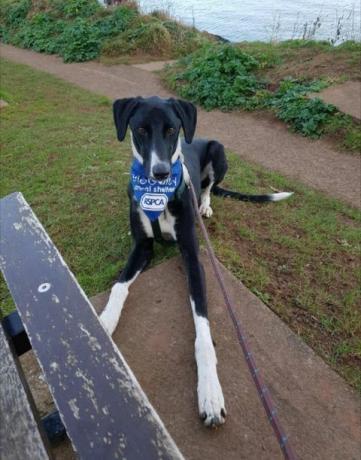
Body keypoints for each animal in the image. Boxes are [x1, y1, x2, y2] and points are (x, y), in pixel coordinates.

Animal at [100, 96, 292, 428]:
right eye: (140, 129)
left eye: (171, 129)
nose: (161, 173)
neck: (158, 196)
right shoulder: (142, 248)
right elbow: (118, 286)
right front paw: (102, 322)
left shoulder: (192, 257)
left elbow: (202, 330)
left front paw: (210, 391)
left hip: (219, 152)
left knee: (208, 188)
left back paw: (205, 205)